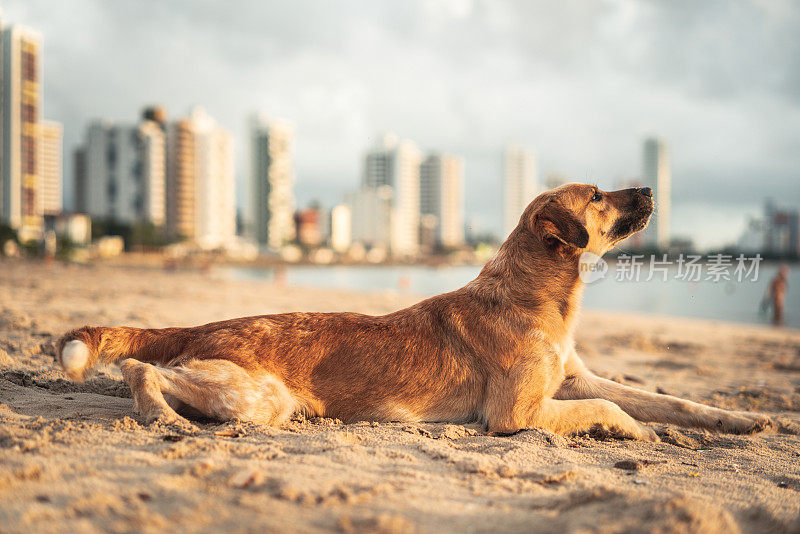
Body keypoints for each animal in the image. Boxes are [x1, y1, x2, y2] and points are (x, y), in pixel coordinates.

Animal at [54, 186, 768, 442]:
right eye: (596, 196)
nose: (646, 188)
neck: (539, 296)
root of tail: (202, 324)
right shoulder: (518, 413)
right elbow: (615, 408)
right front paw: (640, 434)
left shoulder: (576, 379)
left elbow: (671, 400)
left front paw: (744, 420)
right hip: (256, 395)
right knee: (143, 370)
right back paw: (163, 416)